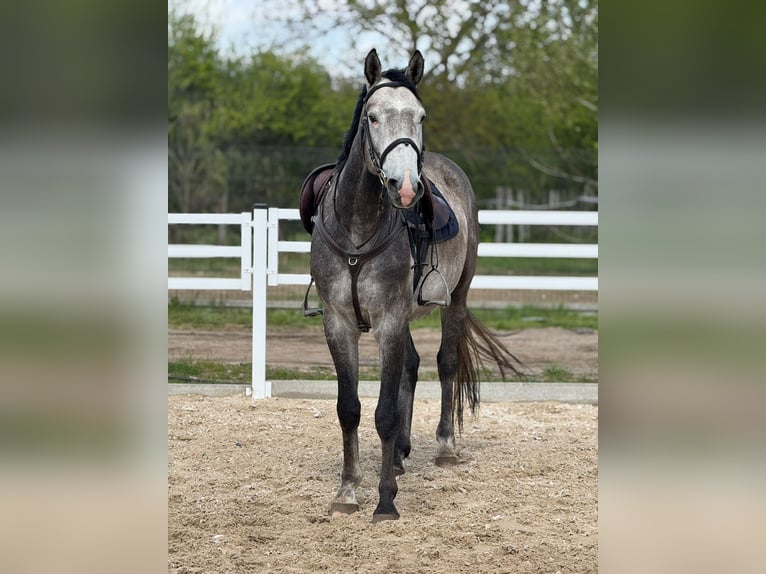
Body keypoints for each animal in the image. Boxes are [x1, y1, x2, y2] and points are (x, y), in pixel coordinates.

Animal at [304, 49, 521, 521]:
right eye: (372, 117)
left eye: (420, 116)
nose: (405, 187)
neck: (357, 228)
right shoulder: (339, 324)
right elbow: (349, 408)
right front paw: (347, 490)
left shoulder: (388, 321)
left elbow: (384, 411)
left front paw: (385, 499)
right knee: (412, 366)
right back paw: (401, 455)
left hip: (456, 297)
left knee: (444, 363)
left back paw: (444, 447)